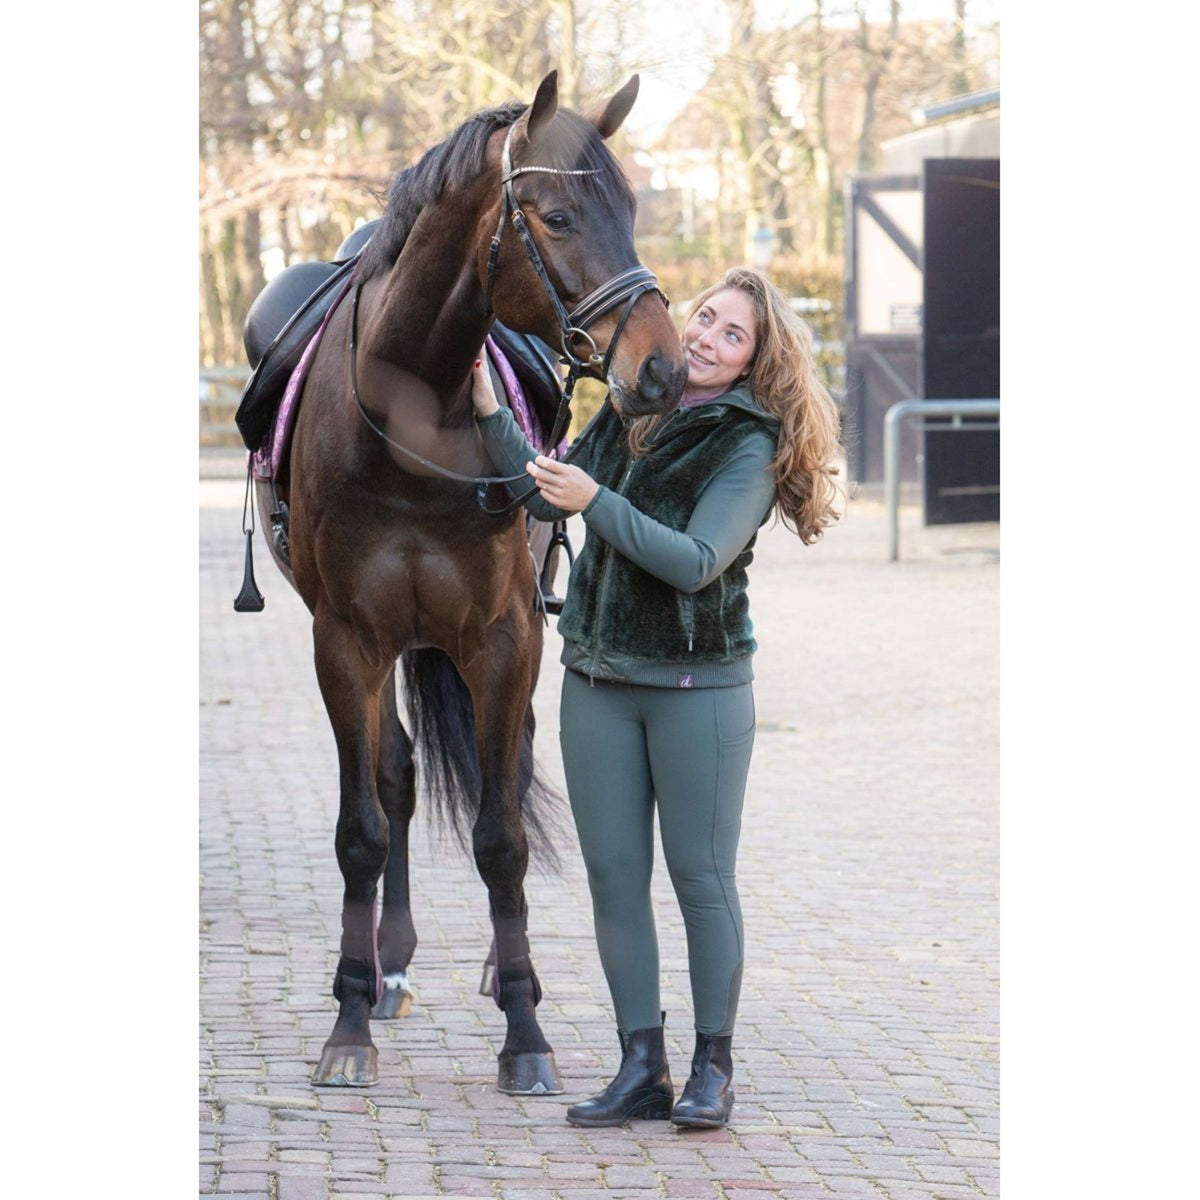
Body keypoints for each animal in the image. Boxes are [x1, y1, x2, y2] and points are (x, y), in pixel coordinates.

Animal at [250, 71, 688, 1091]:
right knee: (399, 777)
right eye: (558, 217)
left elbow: (502, 834)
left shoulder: (503, 636)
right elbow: (364, 826)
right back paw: (390, 966)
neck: (412, 416)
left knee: (509, 771)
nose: (663, 368)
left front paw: (525, 1031)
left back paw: (495, 969)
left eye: (633, 210)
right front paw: (349, 1022)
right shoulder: (346, 641)